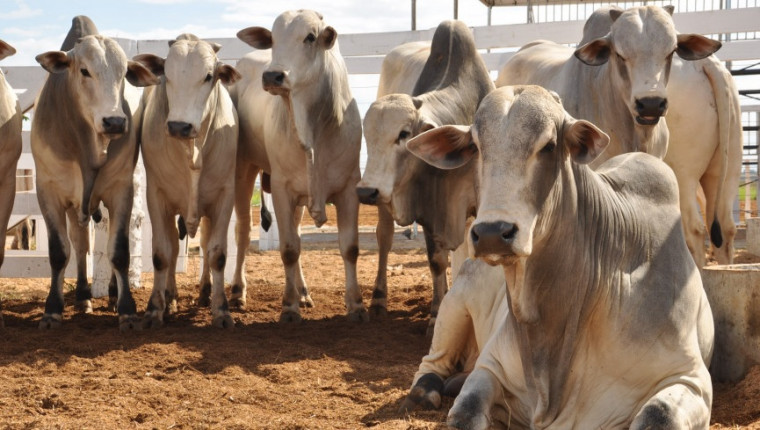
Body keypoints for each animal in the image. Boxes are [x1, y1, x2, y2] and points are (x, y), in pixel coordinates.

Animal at [31, 16, 159, 330]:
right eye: (84, 70)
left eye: (124, 73)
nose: (115, 121)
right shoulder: (49, 192)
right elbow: (59, 252)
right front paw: (52, 309)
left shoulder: (122, 190)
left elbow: (120, 251)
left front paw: (127, 309)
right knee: (79, 245)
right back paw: (82, 296)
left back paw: (111, 294)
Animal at [134, 34, 240, 330]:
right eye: (166, 74)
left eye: (208, 76)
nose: (179, 126)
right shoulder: (157, 196)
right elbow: (162, 253)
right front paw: (155, 309)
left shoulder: (225, 196)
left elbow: (217, 254)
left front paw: (221, 310)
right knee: (171, 248)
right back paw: (170, 298)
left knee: (203, 246)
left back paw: (204, 292)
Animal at [230, 9, 364, 322]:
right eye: (273, 38)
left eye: (310, 37)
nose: (273, 75)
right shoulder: (282, 188)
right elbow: (289, 249)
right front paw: (288, 307)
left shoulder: (349, 188)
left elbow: (349, 248)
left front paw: (356, 305)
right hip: (243, 170)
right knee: (243, 231)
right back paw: (239, 291)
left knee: (297, 233)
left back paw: (303, 292)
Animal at [356, 20, 492, 328]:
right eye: (367, 136)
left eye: (404, 134)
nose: (366, 191)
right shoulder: (430, 210)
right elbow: (436, 261)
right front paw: (435, 314)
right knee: (384, 238)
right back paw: (379, 299)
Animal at [404, 85, 712, 428]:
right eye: (475, 146)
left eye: (549, 146)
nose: (492, 232)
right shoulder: (490, 366)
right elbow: (465, 413)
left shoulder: (688, 378)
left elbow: (658, 414)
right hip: (454, 305)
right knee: (432, 361)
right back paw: (425, 390)